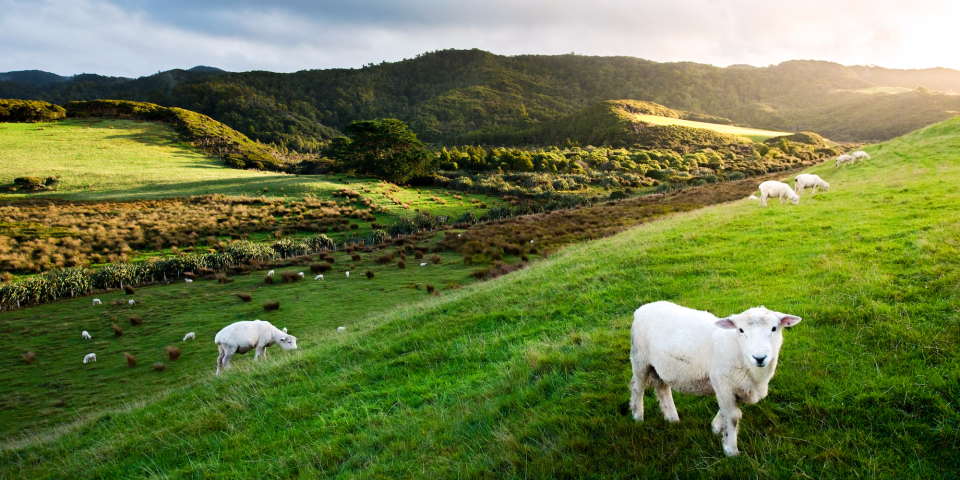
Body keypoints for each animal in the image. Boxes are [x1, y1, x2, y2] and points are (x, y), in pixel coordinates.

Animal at [632, 302, 804, 456]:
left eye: (774, 328)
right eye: (741, 330)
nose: (760, 358)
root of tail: (644, 307)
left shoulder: (736, 387)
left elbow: (729, 412)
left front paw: (716, 428)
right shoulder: (723, 383)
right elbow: (733, 416)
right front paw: (731, 450)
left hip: (662, 366)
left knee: (662, 389)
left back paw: (672, 419)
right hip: (640, 358)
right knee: (637, 387)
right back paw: (637, 417)